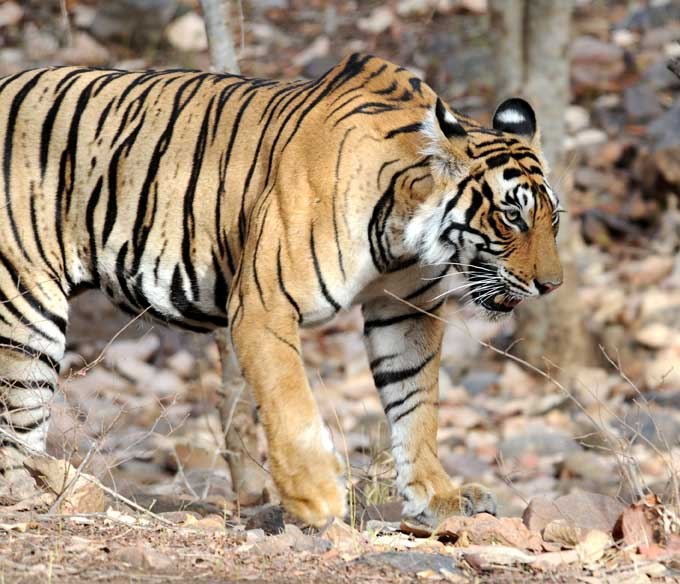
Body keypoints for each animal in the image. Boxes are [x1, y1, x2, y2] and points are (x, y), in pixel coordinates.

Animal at [0, 54, 564, 528]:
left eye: (552, 219)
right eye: (512, 216)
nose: (551, 285)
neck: (405, 233)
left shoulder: (406, 310)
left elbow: (416, 403)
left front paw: (438, 495)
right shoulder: (264, 304)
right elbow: (288, 398)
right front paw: (316, 497)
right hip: (27, 314)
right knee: (17, 426)